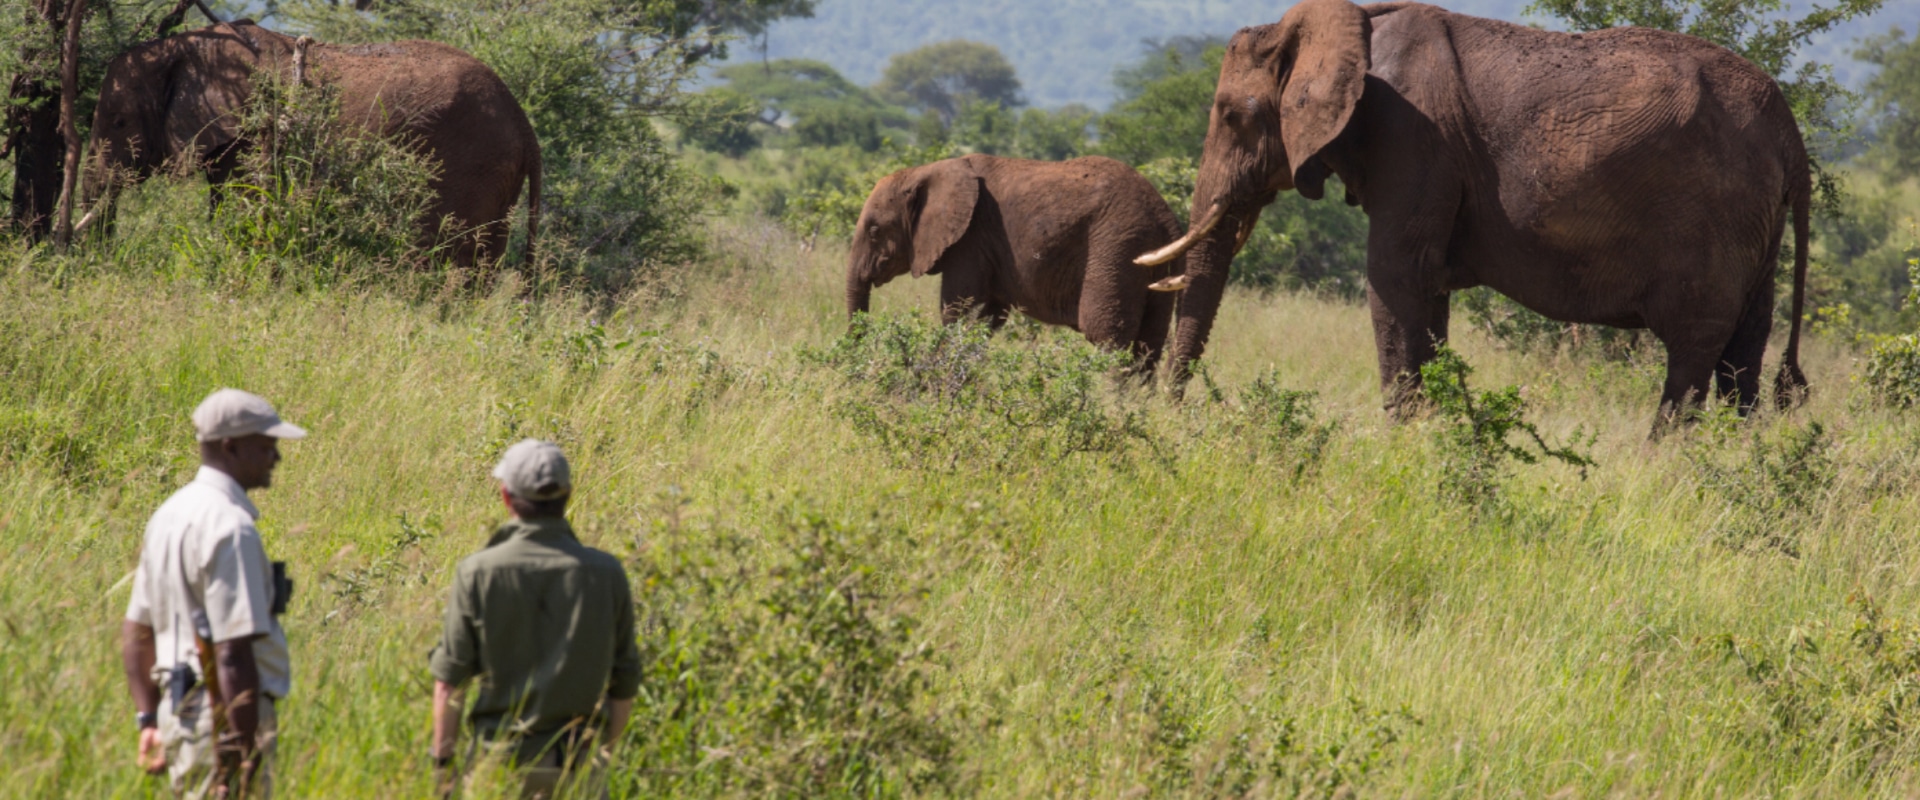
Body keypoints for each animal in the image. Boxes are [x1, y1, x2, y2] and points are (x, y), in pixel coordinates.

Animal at [82, 18, 541, 266]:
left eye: (119, 121)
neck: (188, 44)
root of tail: (523, 123)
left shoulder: (254, 132)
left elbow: (242, 204)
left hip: (465, 164)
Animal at [852, 151, 1182, 368]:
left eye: (874, 231)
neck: (927, 170)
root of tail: (1165, 216)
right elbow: (985, 320)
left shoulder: (970, 240)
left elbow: (959, 313)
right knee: (1149, 343)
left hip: (1116, 249)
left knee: (1108, 337)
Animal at [1136, 0, 1812, 423]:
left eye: (1233, 116)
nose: (1171, 415)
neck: (1346, 23)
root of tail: (1790, 132)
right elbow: (1426, 294)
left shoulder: (1413, 138)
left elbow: (1395, 278)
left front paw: (1400, 440)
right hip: (1756, 227)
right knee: (1743, 360)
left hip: (1716, 215)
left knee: (1694, 351)